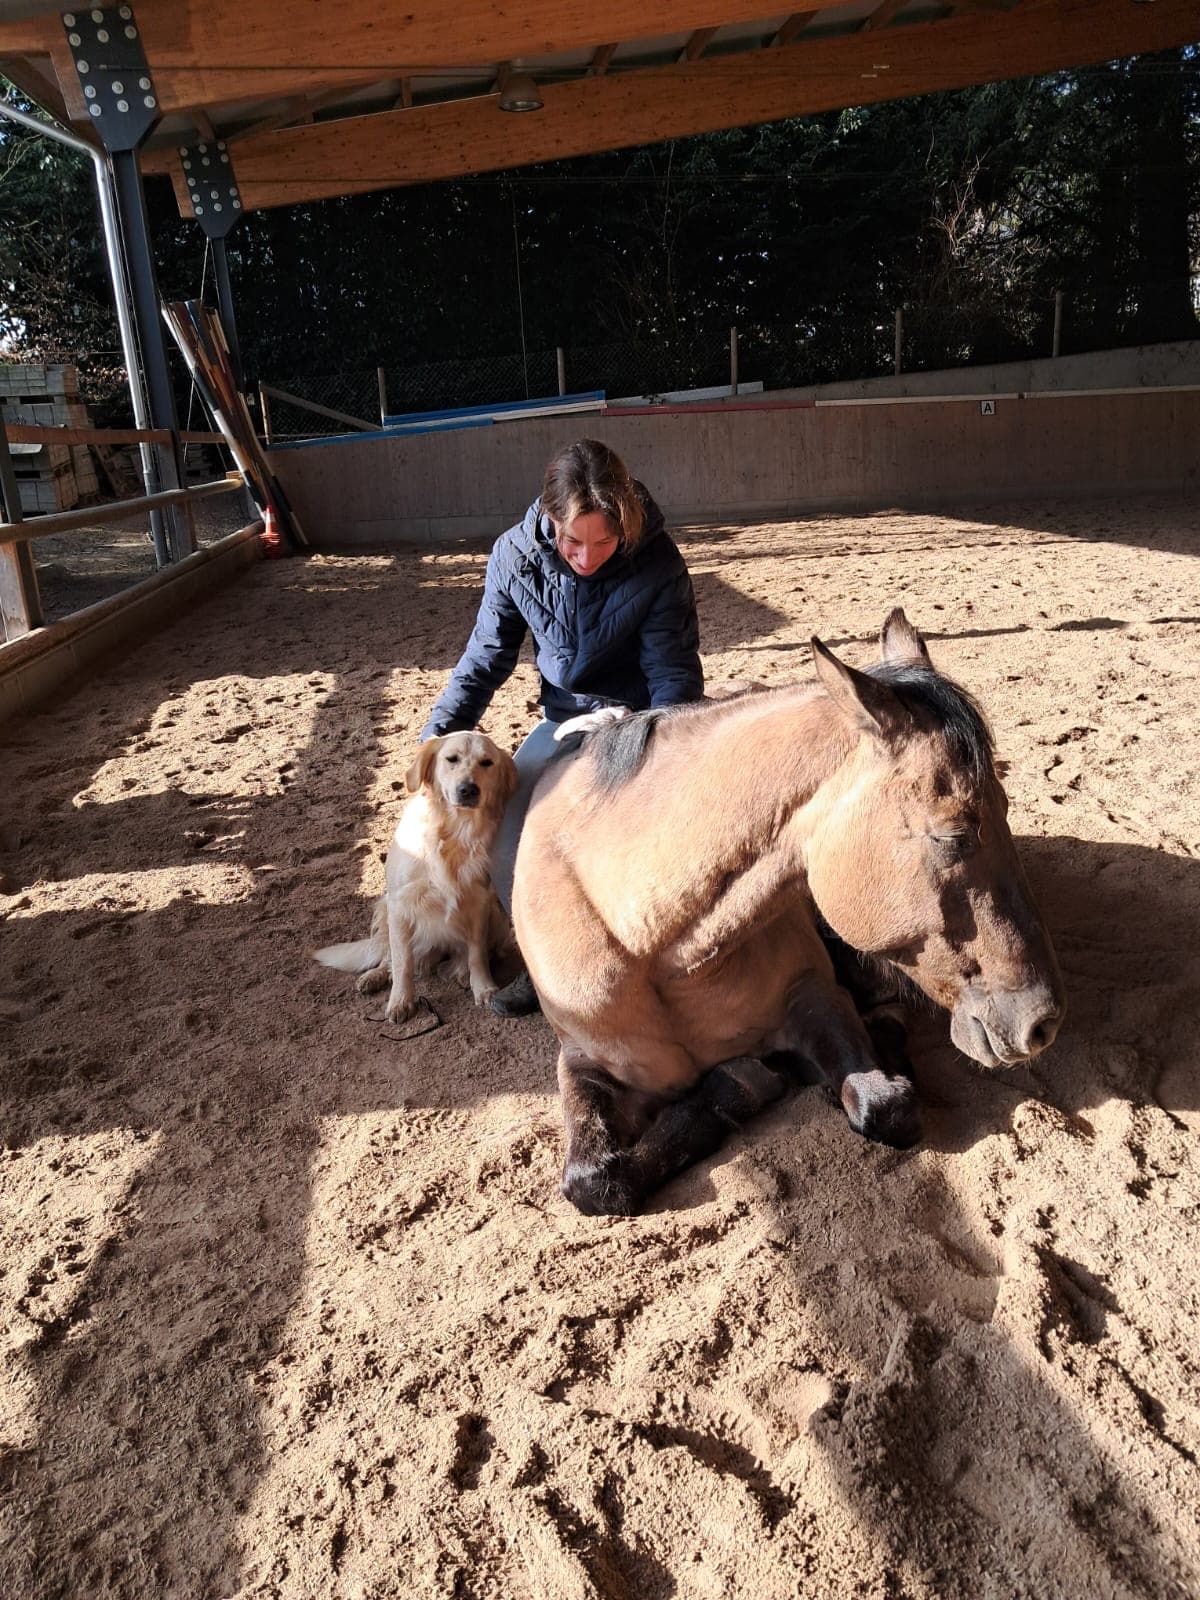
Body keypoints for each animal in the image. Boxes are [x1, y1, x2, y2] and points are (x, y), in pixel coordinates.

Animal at [510, 608, 1065, 1217]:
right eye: (953, 834)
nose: (1041, 1021)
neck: (652, 949)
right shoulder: (584, 1058)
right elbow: (593, 1181)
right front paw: (739, 1085)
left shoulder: (814, 995)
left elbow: (885, 1105)